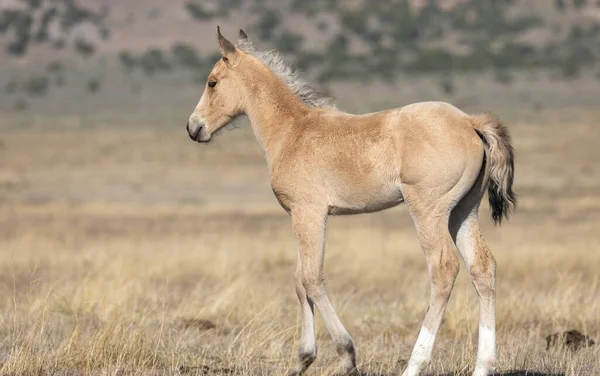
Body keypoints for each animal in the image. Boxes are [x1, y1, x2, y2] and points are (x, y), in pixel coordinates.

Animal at [186, 27, 516, 376]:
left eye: (212, 82)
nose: (193, 128)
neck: (291, 131)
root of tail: (470, 122)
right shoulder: (301, 216)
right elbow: (299, 281)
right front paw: (303, 358)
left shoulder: (309, 213)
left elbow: (312, 279)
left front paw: (346, 355)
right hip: (464, 211)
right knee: (482, 267)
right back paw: (483, 365)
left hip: (429, 211)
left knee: (443, 269)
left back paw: (415, 363)